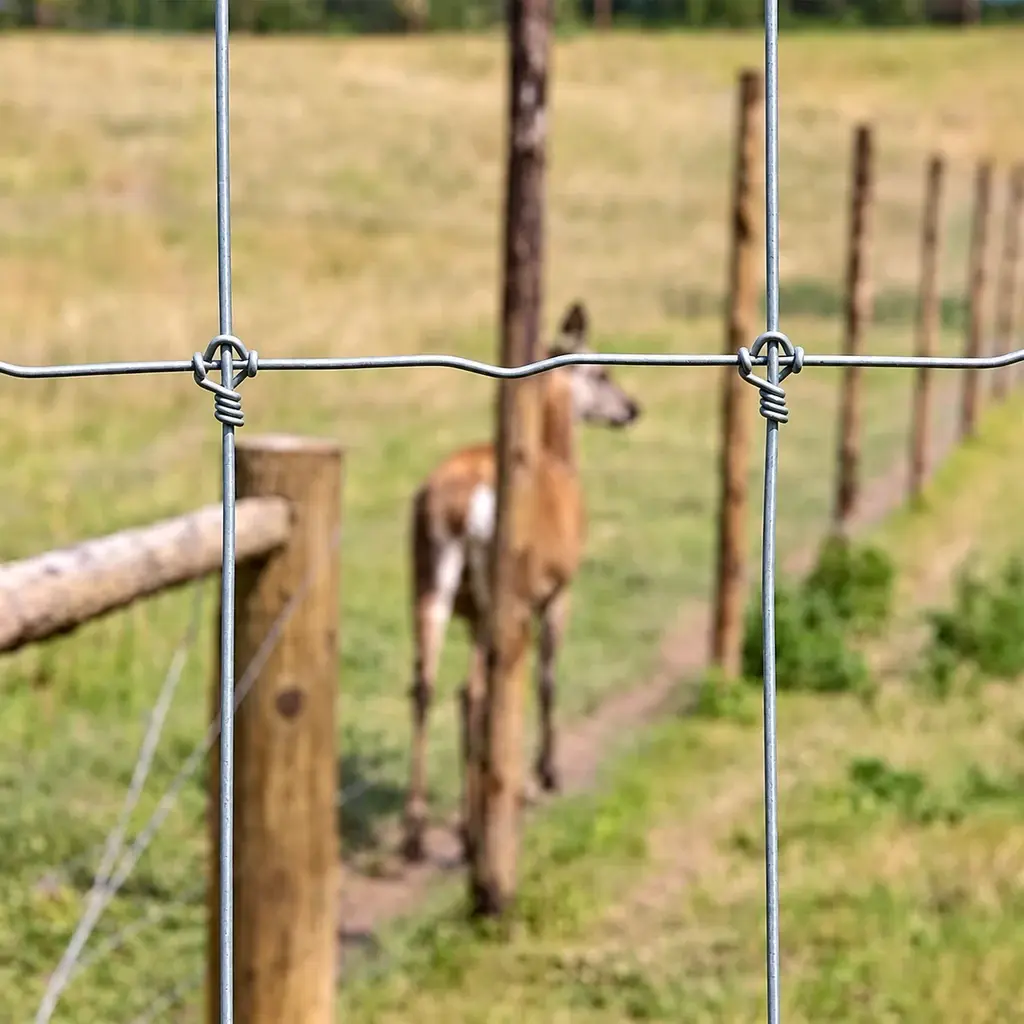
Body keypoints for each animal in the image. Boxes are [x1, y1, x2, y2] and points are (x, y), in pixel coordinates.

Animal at [401, 300, 643, 863]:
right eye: (602, 372)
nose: (631, 409)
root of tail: (465, 505)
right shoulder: (558, 590)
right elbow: (549, 676)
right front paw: (547, 774)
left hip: (431, 582)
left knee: (427, 685)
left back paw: (419, 831)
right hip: (502, 593)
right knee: (474, 691)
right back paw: (471, 831)